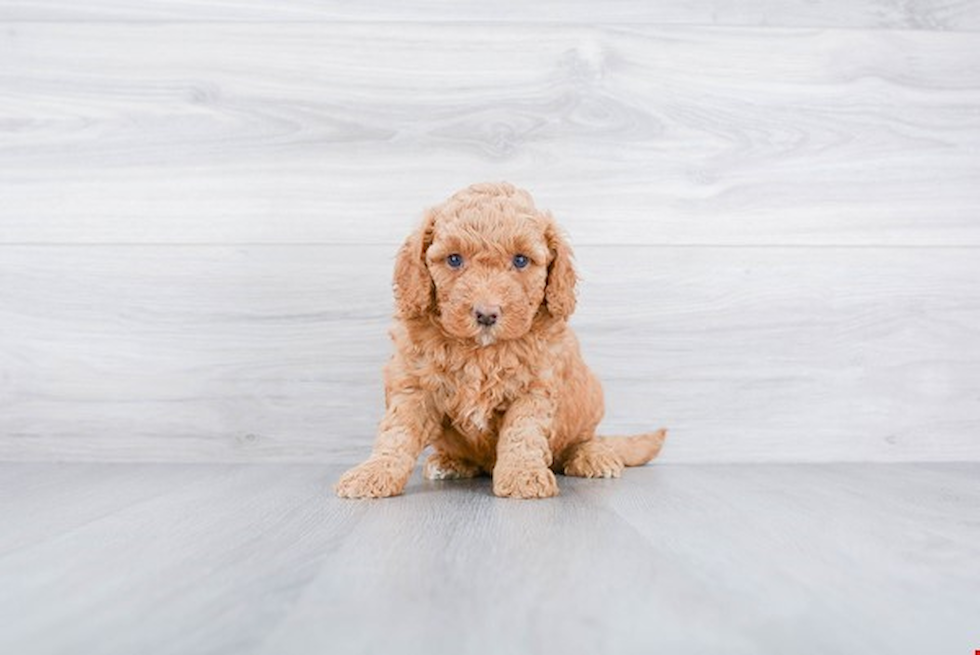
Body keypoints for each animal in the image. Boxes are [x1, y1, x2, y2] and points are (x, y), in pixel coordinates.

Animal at [336, 182, 668, 500]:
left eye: (520, 260)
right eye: (454, 259)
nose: (486, 314)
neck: (480, 352)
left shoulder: (534, 388)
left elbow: (522, 433)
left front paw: (523, 476)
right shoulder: (414, 386)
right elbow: (397, 433)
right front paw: (372, 473)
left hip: (590, 402)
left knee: (584, 439)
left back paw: (594, 456)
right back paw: (449, 463)